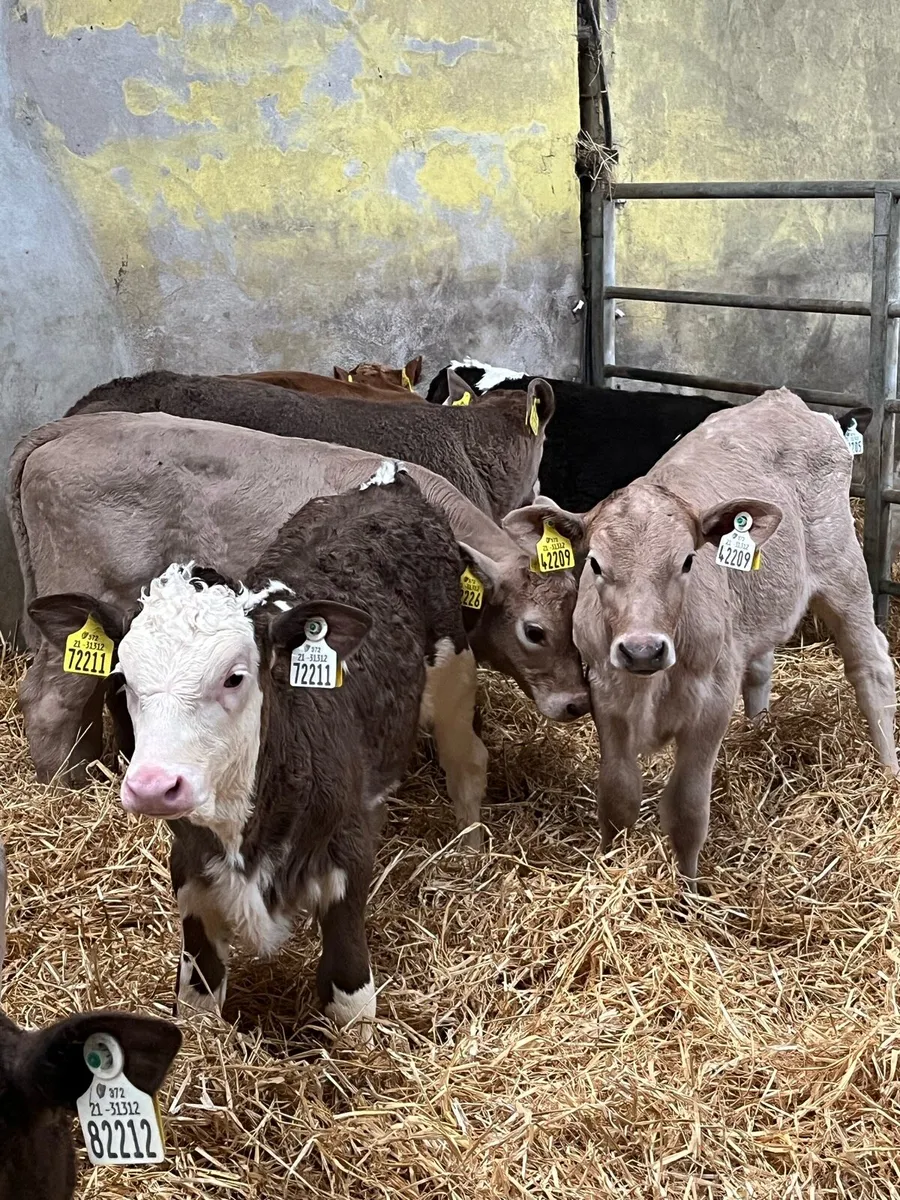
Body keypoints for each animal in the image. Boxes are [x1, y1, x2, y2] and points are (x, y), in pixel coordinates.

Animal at [34, 467, 489, 1032]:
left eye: (234, 677)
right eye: (122, 678)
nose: (153, 786)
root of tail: (390, 481)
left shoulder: (346, 860)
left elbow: (349, 1000)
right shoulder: (192, 874)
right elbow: (199, 1002)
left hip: (455, 674)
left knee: (466, 763)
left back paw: (470, 849)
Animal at [569, 389, 896, 886]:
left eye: (687, 560)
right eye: (595, 564)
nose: (643, 649)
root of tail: (786, 400)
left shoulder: (711, 702)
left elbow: (687, 810)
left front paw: (689, 893)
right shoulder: (606, 694)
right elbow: (617, 795)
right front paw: (611, 866)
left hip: (844, 569)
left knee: (871, 663)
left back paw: (889, 770)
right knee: (762, 666)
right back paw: (760, 731)